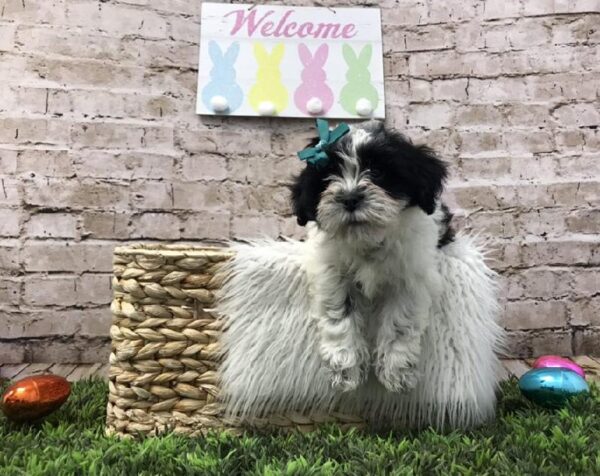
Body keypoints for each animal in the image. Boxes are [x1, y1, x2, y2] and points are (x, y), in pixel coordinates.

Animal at [290, 120, 454, 394]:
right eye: (328, 176)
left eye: (377, 172)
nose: (349, 198)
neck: (368, 239)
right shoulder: (331, 273)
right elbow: (339, 314)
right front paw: (345, 367)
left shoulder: (411, 276)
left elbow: (401, 321)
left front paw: (396, 371)